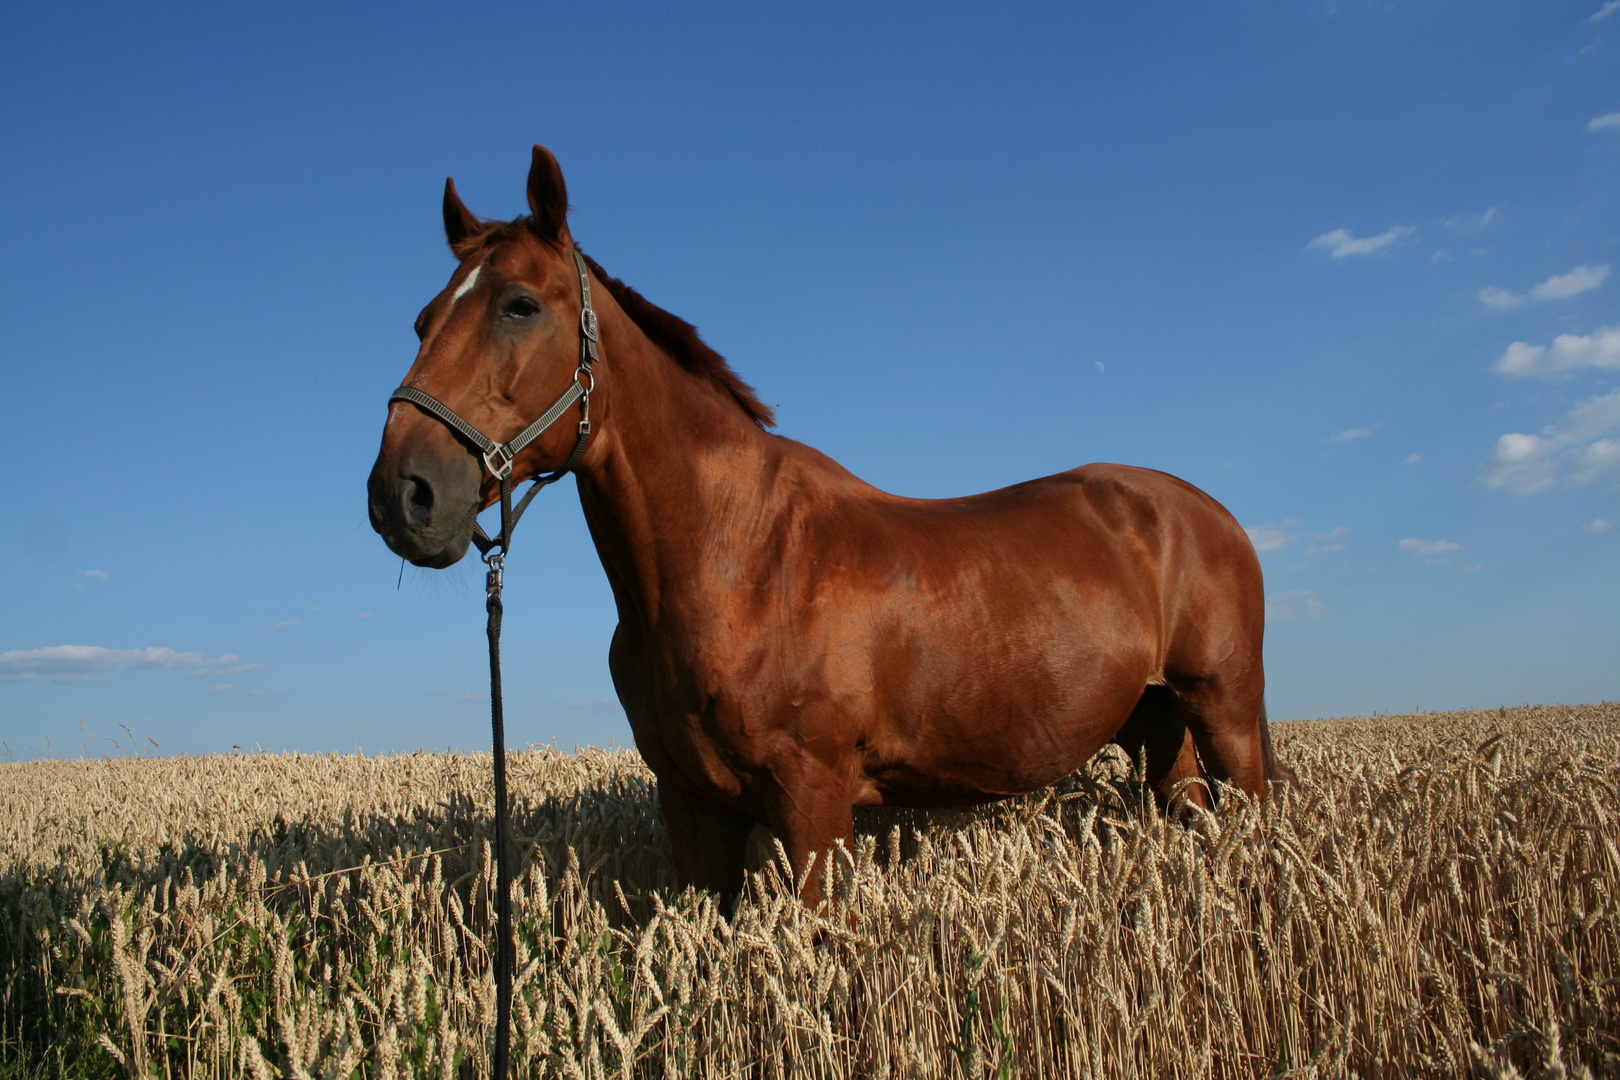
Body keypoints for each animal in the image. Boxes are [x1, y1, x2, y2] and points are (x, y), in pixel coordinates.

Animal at [367, 143, 1289, 906]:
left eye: (520, 305)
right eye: (421, 320)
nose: (402, 495)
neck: (737, 561)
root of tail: (1207, 512)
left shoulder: (813, 806)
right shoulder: (693, 807)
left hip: (1225, 713)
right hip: (1156, 724)